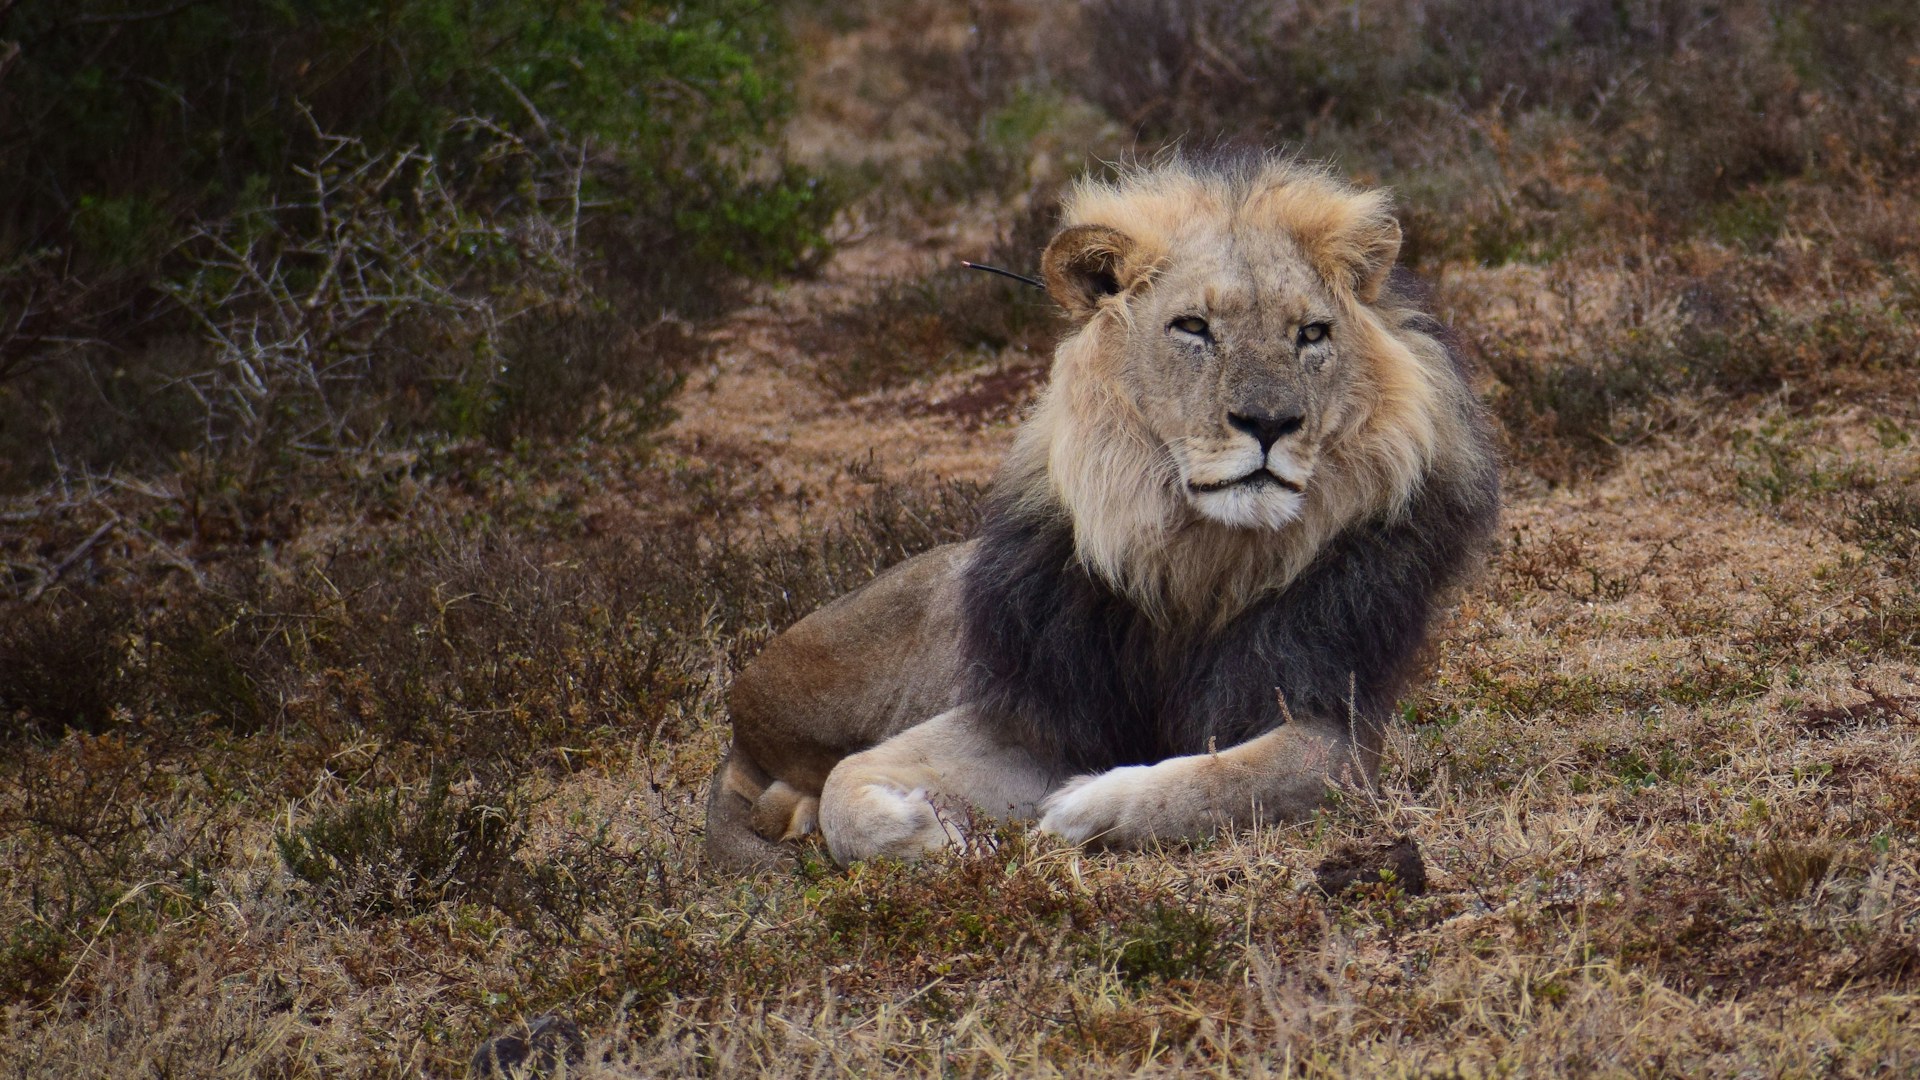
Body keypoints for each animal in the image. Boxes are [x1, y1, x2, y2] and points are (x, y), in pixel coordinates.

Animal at [705, 153, 1500, 869]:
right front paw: (929, 833)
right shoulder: (1045, 704)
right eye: (1193, 327)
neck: (1197, 559)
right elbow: (852, 781)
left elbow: (1226, 780)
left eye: (1311, 334)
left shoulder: (1340, 726)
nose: (1269, 423)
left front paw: (1086, 808)